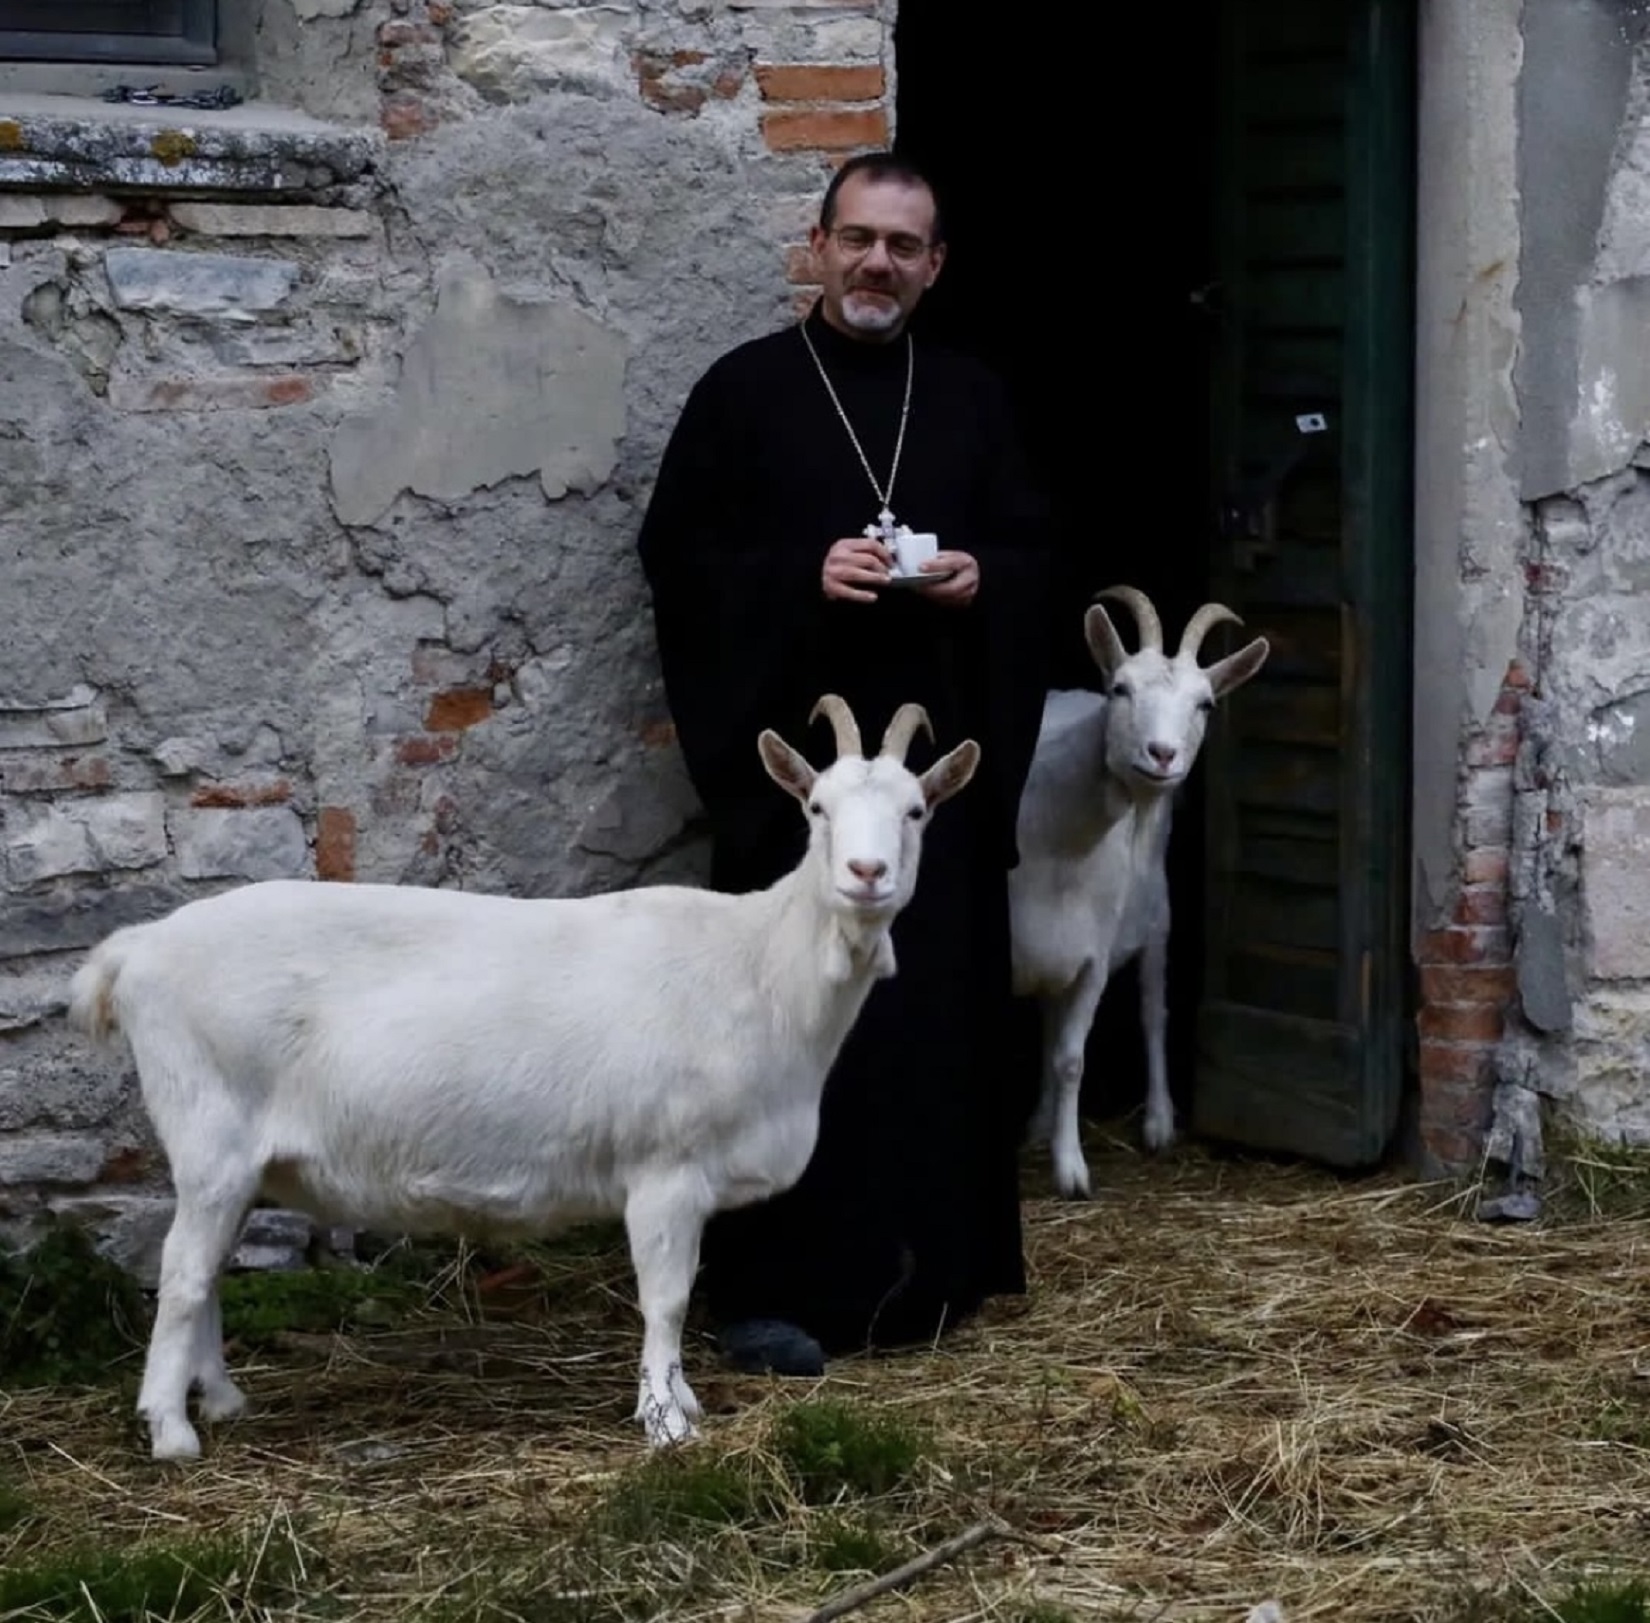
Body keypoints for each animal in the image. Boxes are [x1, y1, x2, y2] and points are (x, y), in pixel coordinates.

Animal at [70, 692, 970, 1458]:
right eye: (817, 808)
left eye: (916, 810)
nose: (865, 874)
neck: (758, 965)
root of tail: (138, 950)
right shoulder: (664, 1169)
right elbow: (667, 1298)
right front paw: (666, 1423)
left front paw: (682, 1400)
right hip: (209, 1129)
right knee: (181, 1272)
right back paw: (171, 1431)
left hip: (234, 1156)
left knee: (206, 1268)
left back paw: (221, 1399)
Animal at [1003, 590, 1260, 1200]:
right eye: (1121, 689)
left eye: (1205, 704)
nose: (1162, 754)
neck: (1055, 842)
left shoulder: (1093, 957)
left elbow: (1072, 1059)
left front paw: (1071, 1170)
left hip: (1156, 912)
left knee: (1152, 1010)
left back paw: (1159, 1122)